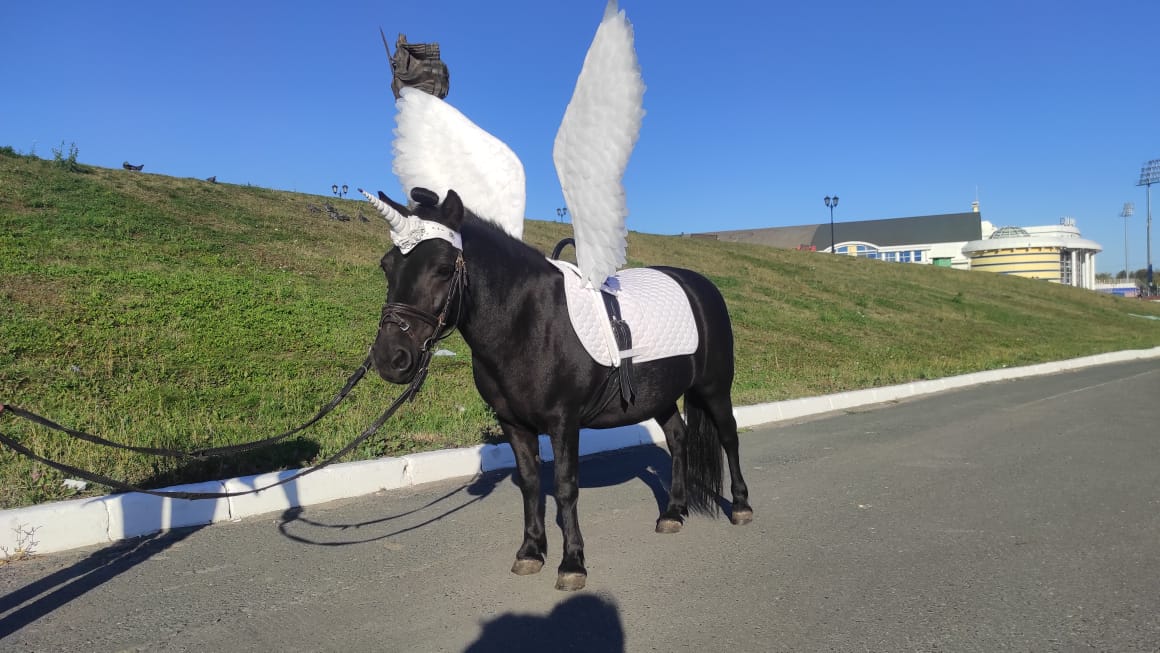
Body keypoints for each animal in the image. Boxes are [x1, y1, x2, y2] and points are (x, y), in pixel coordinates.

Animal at [370, 187, 752, 591]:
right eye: (387, 265)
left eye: (443, 268)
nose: (390, 357)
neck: (529, 321)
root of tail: (701, 287)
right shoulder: (513, 424)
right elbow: (530, 483)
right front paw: (530, 551)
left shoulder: (563, 422)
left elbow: (566, 487)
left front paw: (572, 563)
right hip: (659, 396)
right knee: (678, 438)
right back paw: (673, 512)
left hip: (714, 389)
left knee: (729, 438)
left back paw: (741, 506)